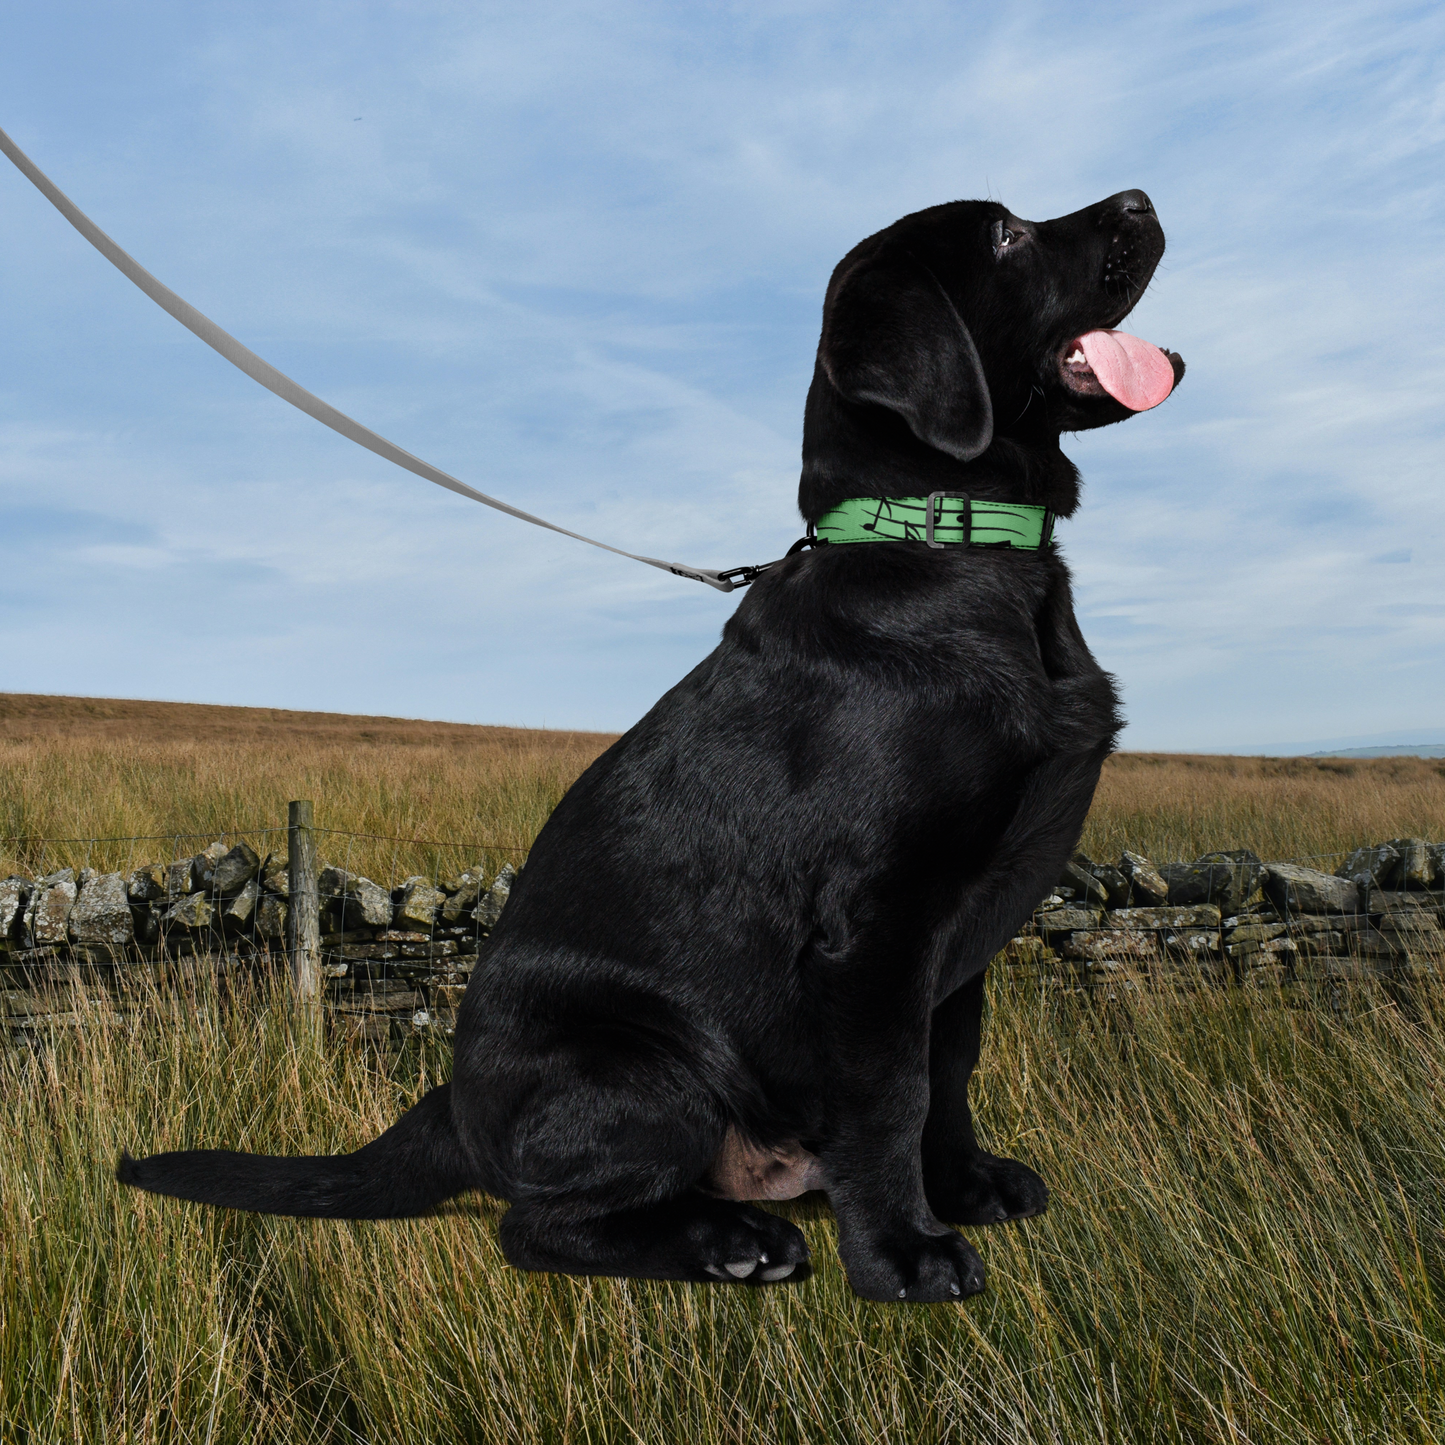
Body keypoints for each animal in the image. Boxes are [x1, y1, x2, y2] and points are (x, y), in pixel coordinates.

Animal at [121, 186, 1184, 1306]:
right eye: (1006, 236)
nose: (1141, 199)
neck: (952, 544)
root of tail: (451, 1105)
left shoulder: (966, 922)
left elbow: (950, 1069)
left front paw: (965, 1184)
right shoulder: (878, 922)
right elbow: (892, 1091)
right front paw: (904, 1253)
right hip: (645, 1061)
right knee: (538, 1225)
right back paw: (733, 1243)